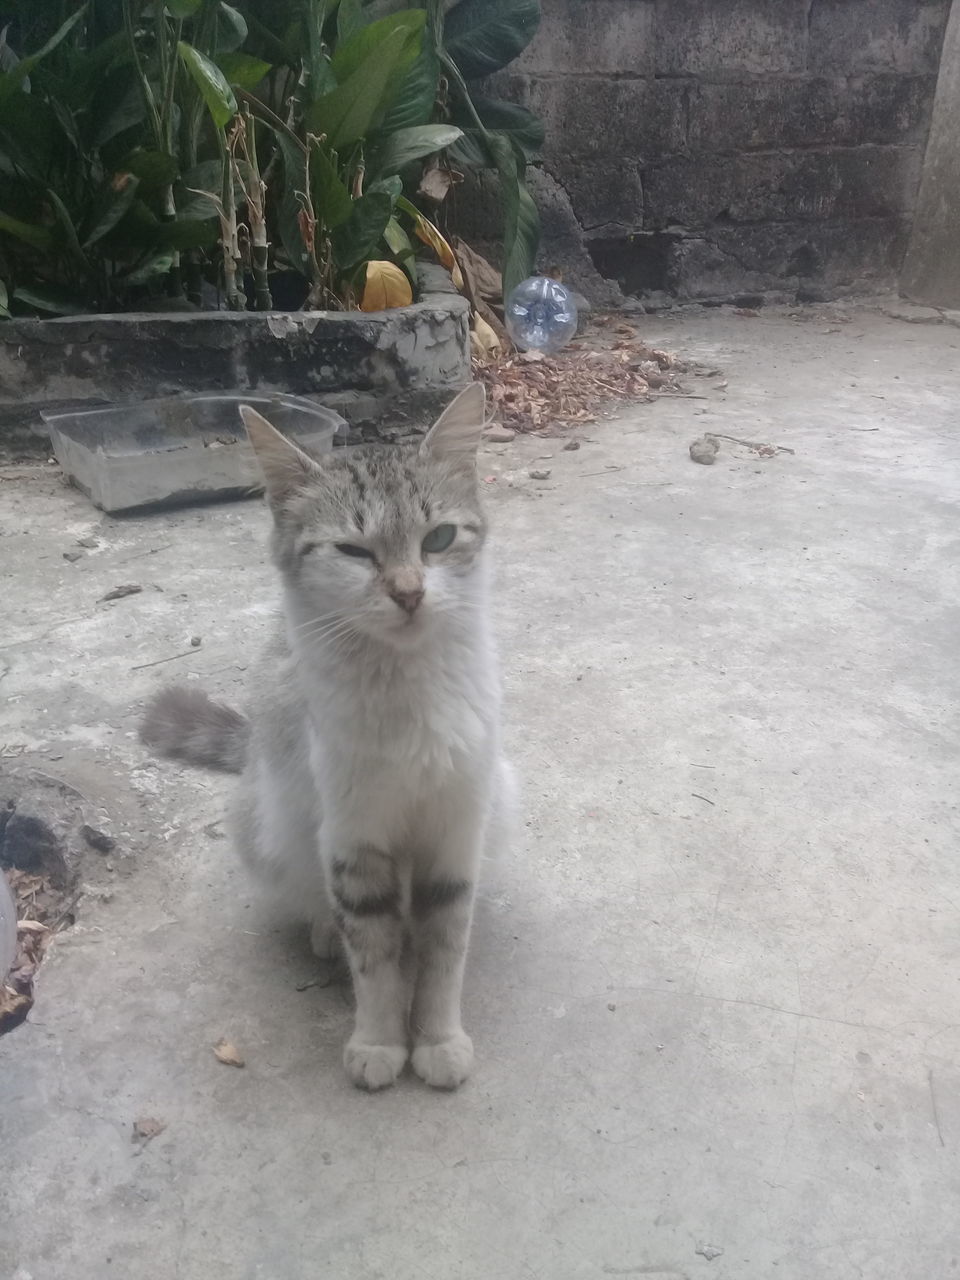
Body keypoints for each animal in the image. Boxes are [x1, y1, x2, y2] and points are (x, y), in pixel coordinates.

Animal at [140, 381, 514, 1090]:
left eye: (439, 538)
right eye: (353, 552)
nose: (409, 593)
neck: (405, 692)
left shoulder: (455, 830)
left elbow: (444, 949)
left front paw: (438, 1039)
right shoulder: (352, 839)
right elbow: (374, 957)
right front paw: (379, 1042)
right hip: (270, 827)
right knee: (318, 905)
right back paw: (319, 932)